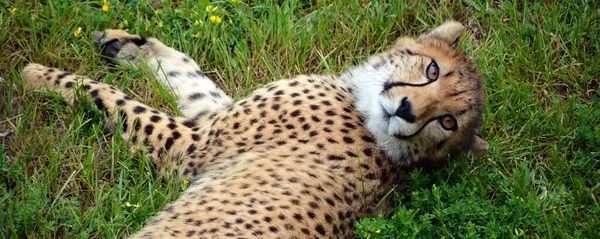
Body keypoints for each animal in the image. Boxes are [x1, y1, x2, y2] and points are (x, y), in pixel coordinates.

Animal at [19, 21, 488, 238]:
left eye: (447, 122)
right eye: (432, 70)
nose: (407, 111)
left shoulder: (191, 144)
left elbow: (114, 99)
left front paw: (38, 76)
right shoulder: (213, 116)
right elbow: (189, 74)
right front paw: (129, 45)